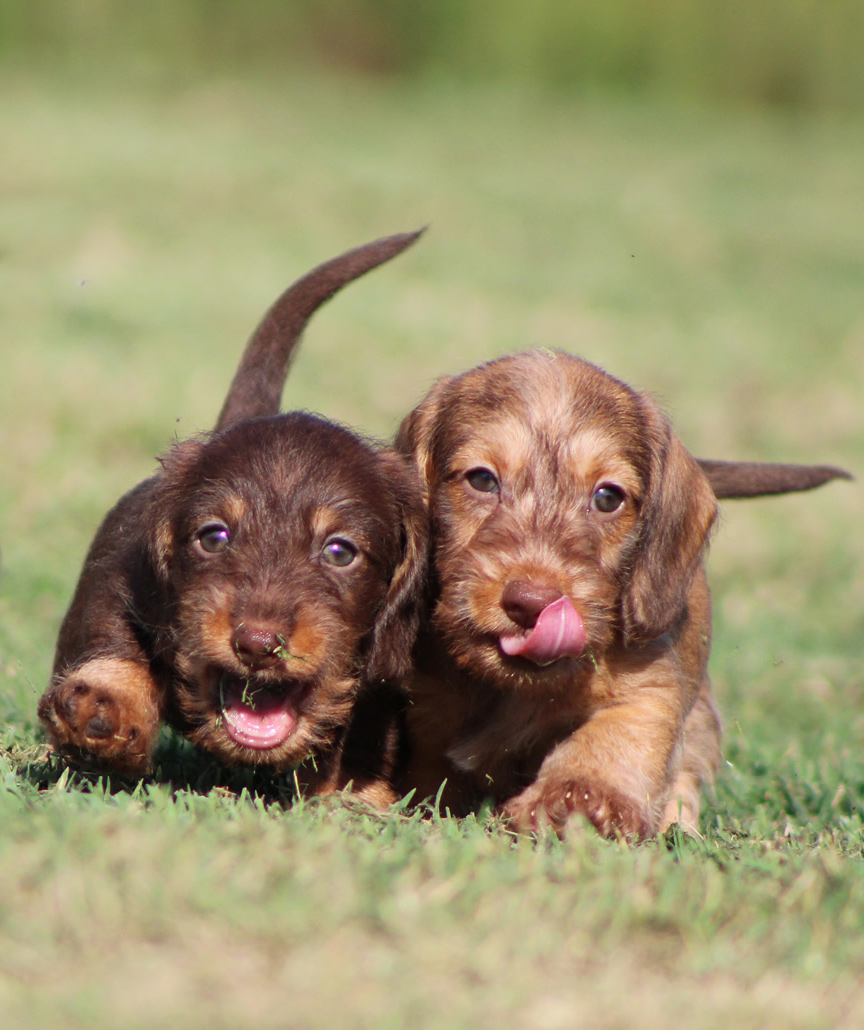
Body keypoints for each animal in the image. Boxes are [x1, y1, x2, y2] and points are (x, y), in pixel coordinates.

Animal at [40, 233, 426, 803]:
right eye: (213, 537)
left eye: (340, 551)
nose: (258, 645)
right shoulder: (116, 577)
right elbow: (112, 639)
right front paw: (103, 707)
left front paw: (356, 797)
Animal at [395, 350, 848, 840]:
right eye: (481, 479)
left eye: (608, 497)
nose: (533, 602)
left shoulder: (648, 690)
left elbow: (613, 736)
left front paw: (576, 796)